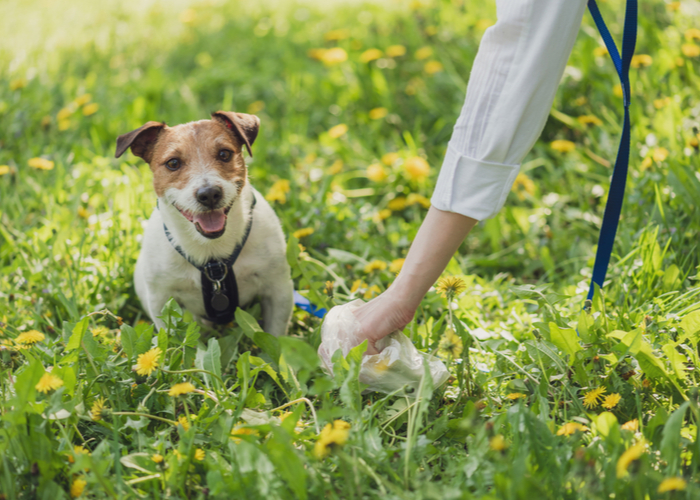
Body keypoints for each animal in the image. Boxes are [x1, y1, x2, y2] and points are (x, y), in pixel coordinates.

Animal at [116, 109, 292, 336]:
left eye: (224, 154)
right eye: (173, 163)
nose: (209, 194)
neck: (212, 253)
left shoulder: (278, 290)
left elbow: (275, 336)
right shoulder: (161, 301)